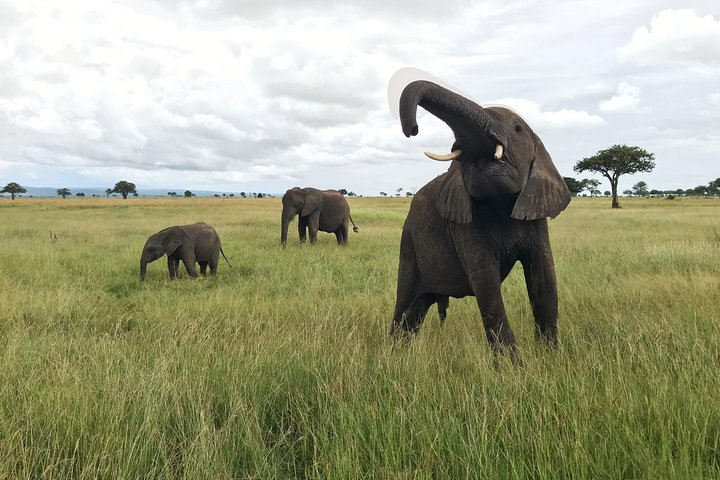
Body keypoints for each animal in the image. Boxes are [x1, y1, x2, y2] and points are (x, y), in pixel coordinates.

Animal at [390, 79, 572, 358]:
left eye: (517, 128)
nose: (413, 129)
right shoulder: (462, 223)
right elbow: (486, 280)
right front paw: (513, 366)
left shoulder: (535, 214)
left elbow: (544, 276)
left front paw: (550, 358)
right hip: (409, 240)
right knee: (405, 302)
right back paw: (391, 353)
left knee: (417, 309)